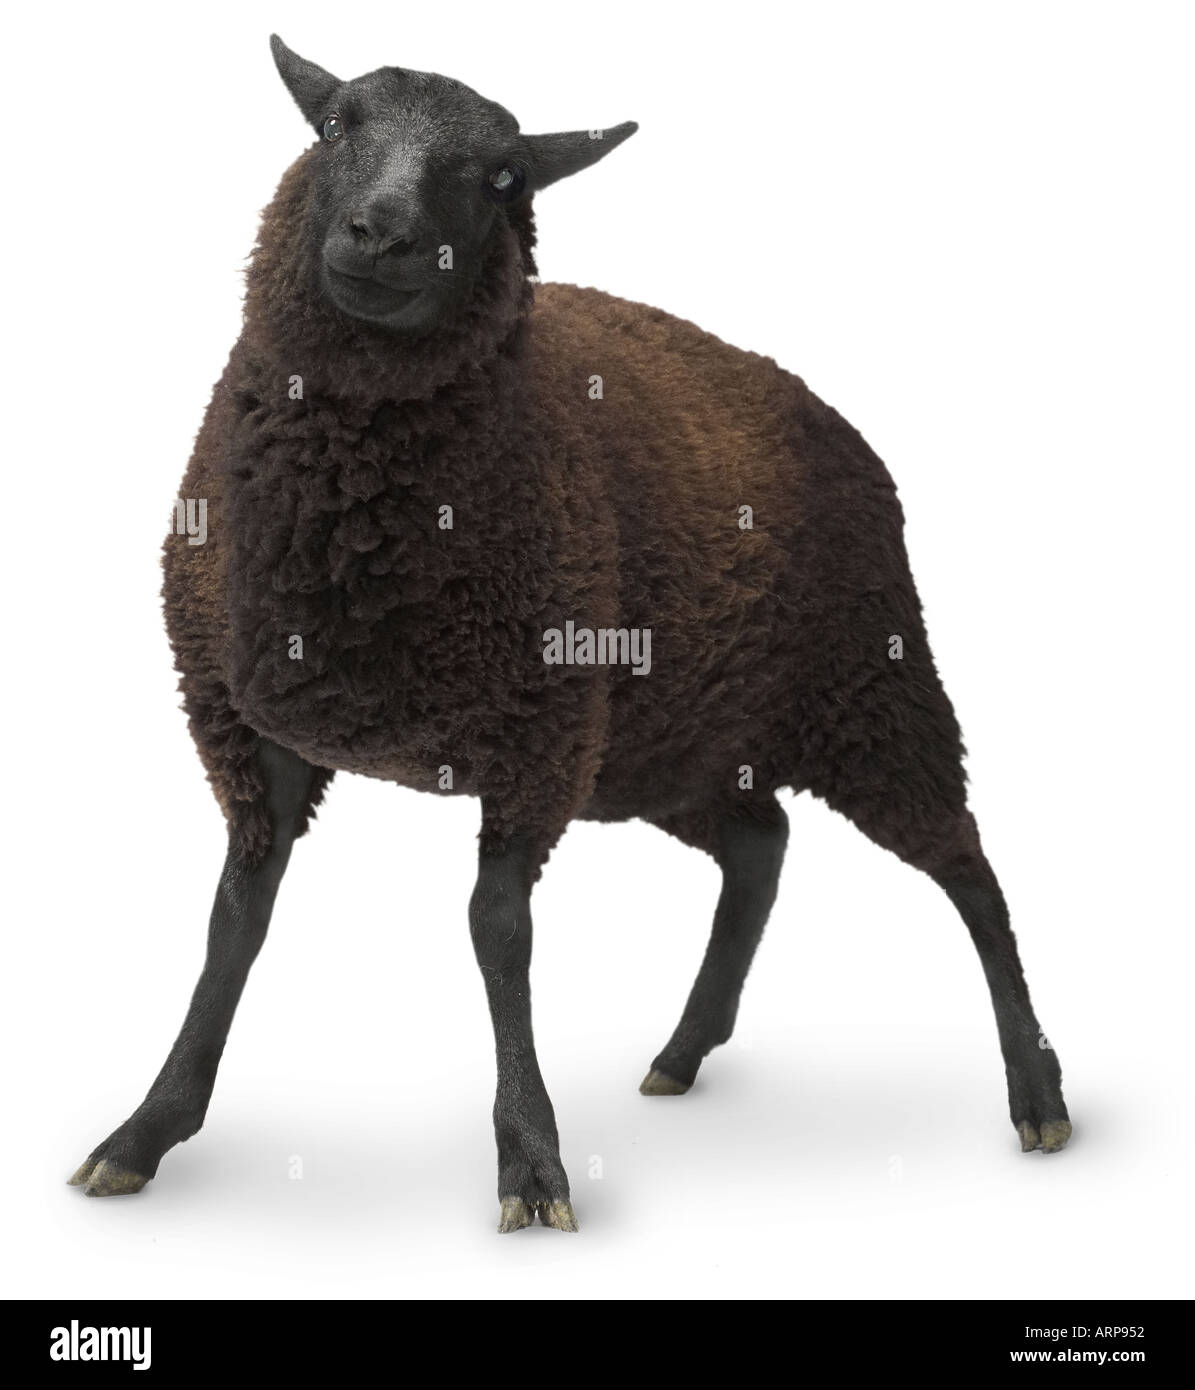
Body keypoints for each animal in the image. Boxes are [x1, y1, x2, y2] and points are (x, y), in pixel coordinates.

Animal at [69, 36, 1070, 1231]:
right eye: (337, 125)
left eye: (504, 178)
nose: (383, 235)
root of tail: (842, 427)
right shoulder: (250, 727)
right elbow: (236, 919)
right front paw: (145, 1131)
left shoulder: (533, 734)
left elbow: (496, 929)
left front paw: (530, 1160)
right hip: (668, 740)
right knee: (762, 841)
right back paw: (685, 1049)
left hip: (866, 688)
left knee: (968, 868)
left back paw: (1037, 1090)